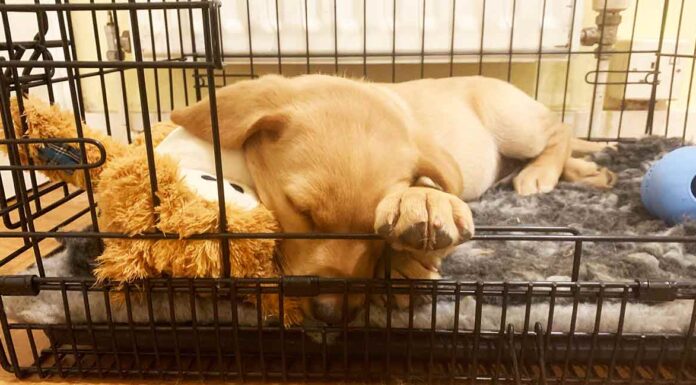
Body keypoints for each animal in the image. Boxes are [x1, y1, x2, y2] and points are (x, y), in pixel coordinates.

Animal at [173, 74, 616, 320]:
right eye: (302, 211)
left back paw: (543, 173)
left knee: (559, 131)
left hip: (514, 124)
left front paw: (415, 237)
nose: (331, 314)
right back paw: (588, 170)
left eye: (373, 232)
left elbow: (431, 193)